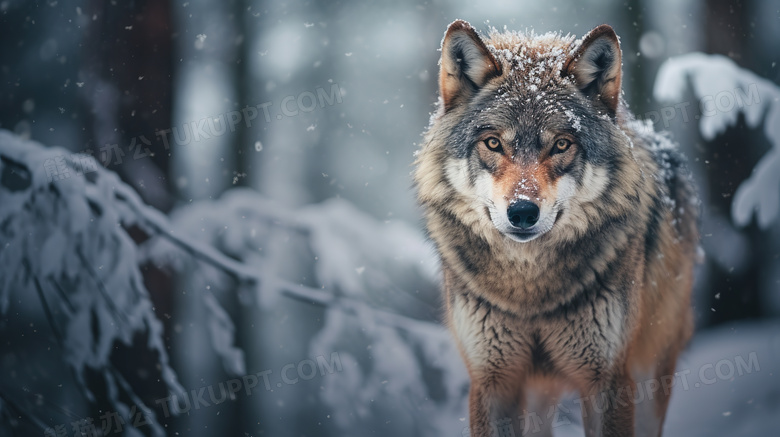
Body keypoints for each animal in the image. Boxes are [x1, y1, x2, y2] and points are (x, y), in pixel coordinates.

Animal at [414, 20, 700, 436]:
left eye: (561, 145)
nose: (522, 212)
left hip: (652, 369)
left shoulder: (609, 379)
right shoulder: (492, 381)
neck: (529, 291)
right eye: (493, 143)